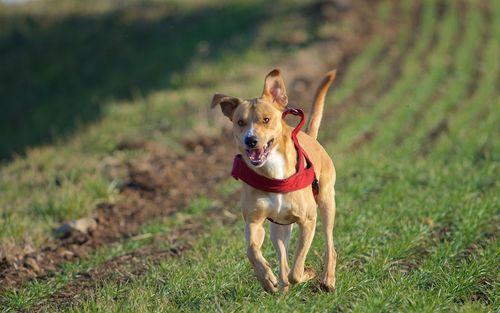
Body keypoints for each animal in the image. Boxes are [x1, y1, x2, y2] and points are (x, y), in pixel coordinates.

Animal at [213, 69, 338, 292]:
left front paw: (305, 273)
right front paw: (266, 279)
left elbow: (296, 270)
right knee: (283, 259)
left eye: (266, 119)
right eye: (240, 122)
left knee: (329, 244)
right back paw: (281, 287)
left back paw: (327, 279)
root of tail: (310, 137)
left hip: (326, 202)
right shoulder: (254, 221)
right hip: (279, 227)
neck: (272, 172)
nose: (250, 140)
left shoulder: (308, 221)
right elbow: (251, 250)